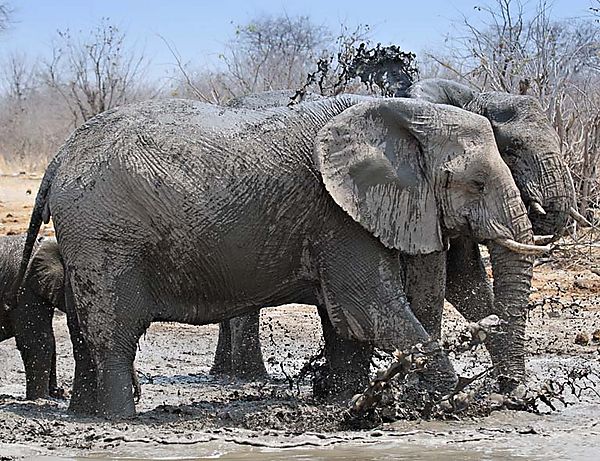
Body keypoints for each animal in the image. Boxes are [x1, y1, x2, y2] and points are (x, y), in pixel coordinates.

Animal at [14, 94, 540, 416]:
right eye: (476, 183)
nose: (517, 397)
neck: (405, 115)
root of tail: (59, 157)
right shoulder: (339, 212)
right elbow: (369, 307)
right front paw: (447, 401)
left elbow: (346, 320)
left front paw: (346, 402)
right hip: (105, 234)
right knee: (114, 333)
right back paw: (122, 419)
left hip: (86, 236)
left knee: (84, 328)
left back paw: (85, 417)